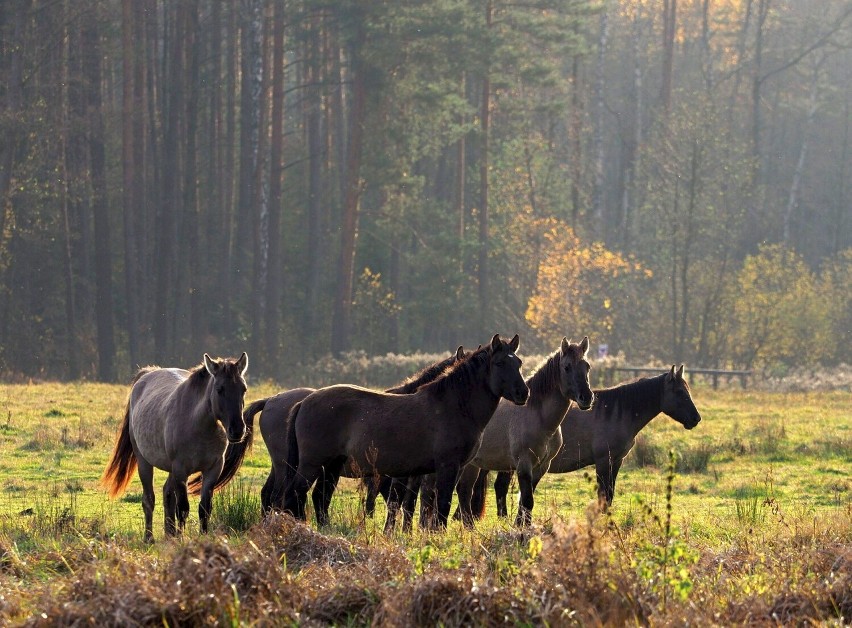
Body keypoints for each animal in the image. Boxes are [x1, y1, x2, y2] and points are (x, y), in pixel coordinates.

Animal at [101, 356, 250, 544]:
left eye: (243, 389)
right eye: (219, 389)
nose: (237, 430)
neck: (198, 425)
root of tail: (148, 373)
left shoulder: (213, 469)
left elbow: (204, 508)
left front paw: (202, 537)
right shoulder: (181, 470)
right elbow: (183, 508)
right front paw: (181, 539)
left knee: (167, 495)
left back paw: (169, 534)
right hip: (144, 463)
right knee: (149, 499)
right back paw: (149, 537)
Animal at [282, 336, 528, 528]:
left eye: (519, 362)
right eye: (499, 363)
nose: (523, 393)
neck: (454, 406)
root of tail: (304, 402)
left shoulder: (450, 469)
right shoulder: (446, 466)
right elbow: (441, 504)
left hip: (332, 466)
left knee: (319, 496)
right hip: (312, 464)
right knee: (295, 493)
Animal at [450, 336, 596, 528]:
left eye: (587, 366)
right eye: (567, 367)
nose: (586, 397)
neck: (538, 417)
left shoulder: (541, 466)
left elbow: (525, 501)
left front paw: (521, 525)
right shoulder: (524, 464)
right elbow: (527, 500)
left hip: (473, 464)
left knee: (465, 490)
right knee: (464, 491)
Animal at [490, 366, 704, 516]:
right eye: (679, 392)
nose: (696, 419)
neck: (616, 413)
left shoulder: (616, 461)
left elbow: (609, 495)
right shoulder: (603, 461)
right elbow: (604, 495)